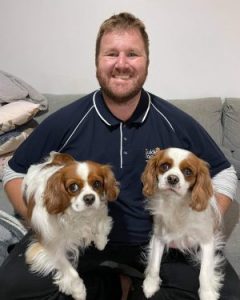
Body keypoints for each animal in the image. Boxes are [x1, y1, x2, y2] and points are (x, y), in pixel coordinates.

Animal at [23, 152, 119, 300]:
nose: (89, 198)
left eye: (97, 184)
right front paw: (78, 290)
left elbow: (101, 220)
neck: (76, 216)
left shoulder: (99, 210)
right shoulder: (50, 247)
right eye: (73, 187)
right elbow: (69, 269)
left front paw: (100, 241)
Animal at [142, 147, 224, 300]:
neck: (176, 203)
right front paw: (150, 284)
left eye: (187, 172)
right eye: (164, 166)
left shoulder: (207, 241)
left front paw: (207, 293)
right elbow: (154, 264)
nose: (172, 178)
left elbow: (204, 272)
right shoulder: (159, 237)